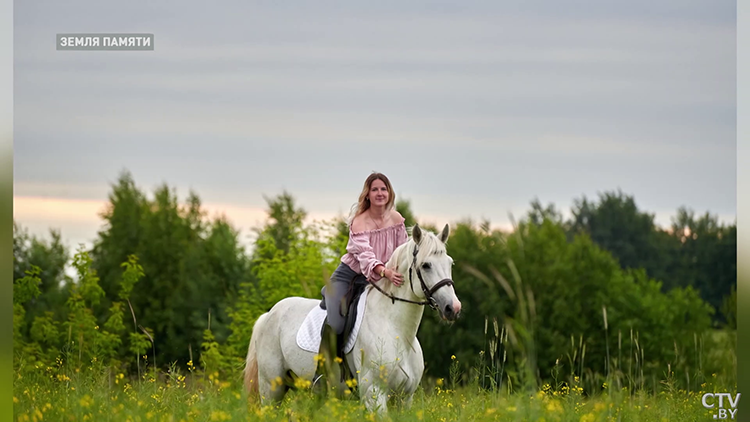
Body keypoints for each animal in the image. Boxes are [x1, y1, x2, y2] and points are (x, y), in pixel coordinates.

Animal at [244, 223, 462, 414]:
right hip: (271, 389)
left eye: (450, 263)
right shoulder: (375, 393)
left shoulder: (404, 398)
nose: (453, 308)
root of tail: (269, 314)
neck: (397, 332)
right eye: (426, 265)